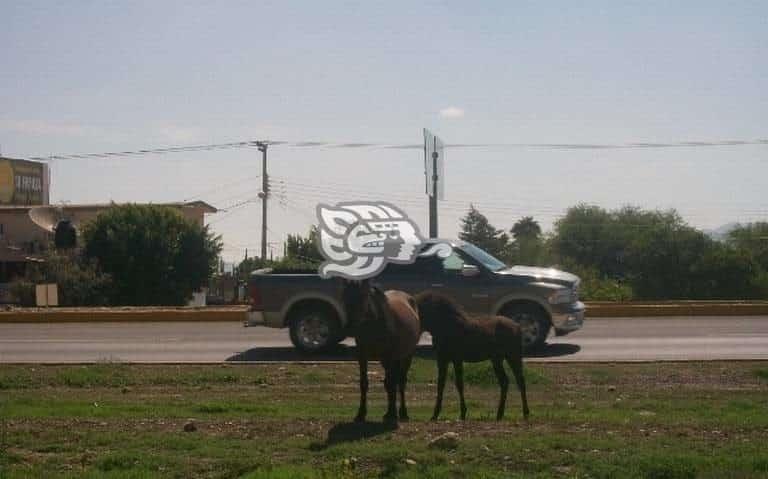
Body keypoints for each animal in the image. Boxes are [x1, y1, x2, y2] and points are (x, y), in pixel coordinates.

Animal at [344, 282, 424, 424]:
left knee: (401, 382)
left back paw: (403, 413)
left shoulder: (389, 357)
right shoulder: (362, 356)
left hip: (406, 356)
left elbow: (391, 383)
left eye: (364, 296)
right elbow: (364, 383)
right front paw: (360, 414)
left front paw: (392, 414)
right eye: (344, 294)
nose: (350, 325)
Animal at [414, 290, 528, 422]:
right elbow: (440, 384)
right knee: (505, 381)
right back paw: (499, 414)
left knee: (520, 381)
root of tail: (518, 327)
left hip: (513, 356)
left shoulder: (456, 358)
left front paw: (463, 413)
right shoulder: (442, 358)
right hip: (497, 359)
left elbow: (459, 384)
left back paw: (525, 413)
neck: (443, 327)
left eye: (421, 307)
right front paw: (435, 414)